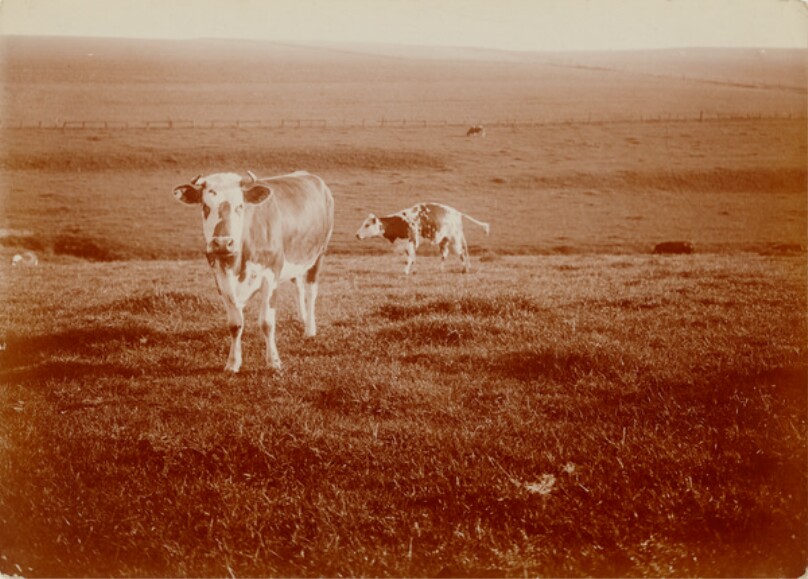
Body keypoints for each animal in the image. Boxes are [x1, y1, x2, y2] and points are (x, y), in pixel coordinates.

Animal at [173, 170, 334, 372]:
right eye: (205, 206)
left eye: (240, 206)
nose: (222, 243)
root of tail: (307, 174)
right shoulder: (221, 279)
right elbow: (235, 324)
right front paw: (233, 363)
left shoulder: (271, 276)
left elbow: (267, 322)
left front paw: (273, 361)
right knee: (298, 285)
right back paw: (302, 317)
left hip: (319, 254)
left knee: (311, 291)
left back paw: (310, 329)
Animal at [355, 202, 490, 275]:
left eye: (367, 225)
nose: (357, 235)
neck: (400, 222)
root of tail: (456, 212)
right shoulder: (408, 244)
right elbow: (413, 258)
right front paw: (413, 271)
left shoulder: (411, 241)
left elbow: (409, 259)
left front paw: (405, 271)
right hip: (444, 240)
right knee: (446, 254)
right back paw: (441, 269)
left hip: (454, 239)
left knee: (462, 253)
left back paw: (464, 269)